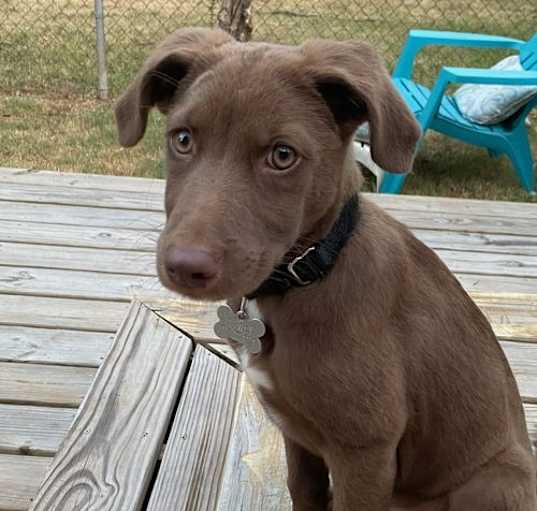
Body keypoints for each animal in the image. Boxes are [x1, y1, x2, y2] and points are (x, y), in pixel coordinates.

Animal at [115, 28, 532, 511]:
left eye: (282, 155)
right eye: (182, 140)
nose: (184, 266)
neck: (304, 275)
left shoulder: (365, 449)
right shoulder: (298, 436)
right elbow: (304, 490)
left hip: (496, 480)